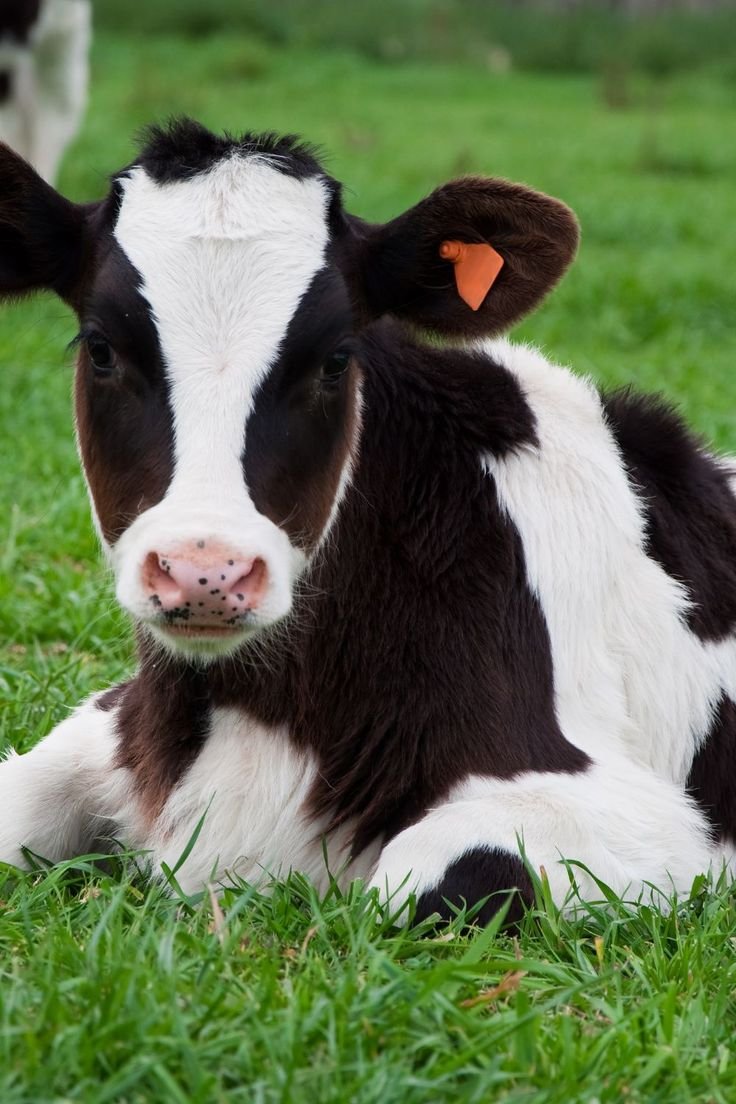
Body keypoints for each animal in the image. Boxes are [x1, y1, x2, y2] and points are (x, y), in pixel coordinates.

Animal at [0, 118, 734, 926]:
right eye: (101, 348)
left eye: (333, 359)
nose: (206, 574)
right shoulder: (111, 719)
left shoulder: (661, 826)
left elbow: (435, 880)